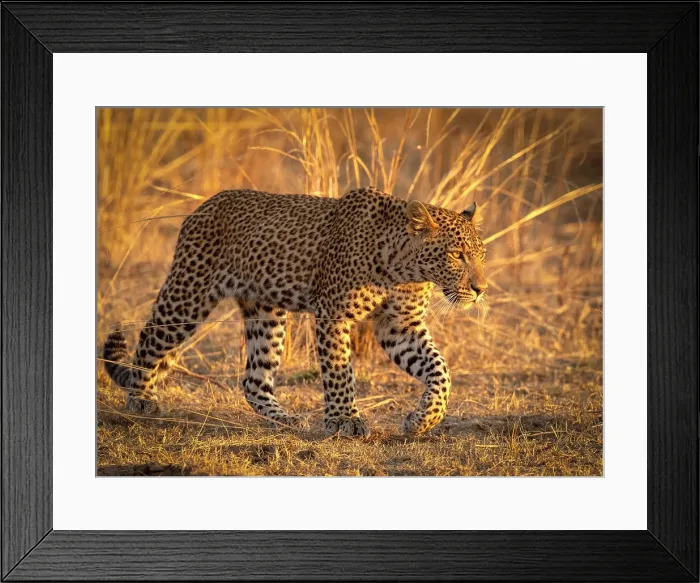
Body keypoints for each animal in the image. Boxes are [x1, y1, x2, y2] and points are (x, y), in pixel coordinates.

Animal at [103, 187, 488, 437]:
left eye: (481, 255)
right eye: (456, 255)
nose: (481, 289)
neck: (404, 270)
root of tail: (203, 206)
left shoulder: (399, 325)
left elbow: (440, 370)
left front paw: (424, 420)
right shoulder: (333, 314)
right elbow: (340, 371)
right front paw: (344, 420)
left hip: (266, 314)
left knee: (253, 379)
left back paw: (284, 420)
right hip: (187, 296)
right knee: (149, 340)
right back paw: (141, 399)